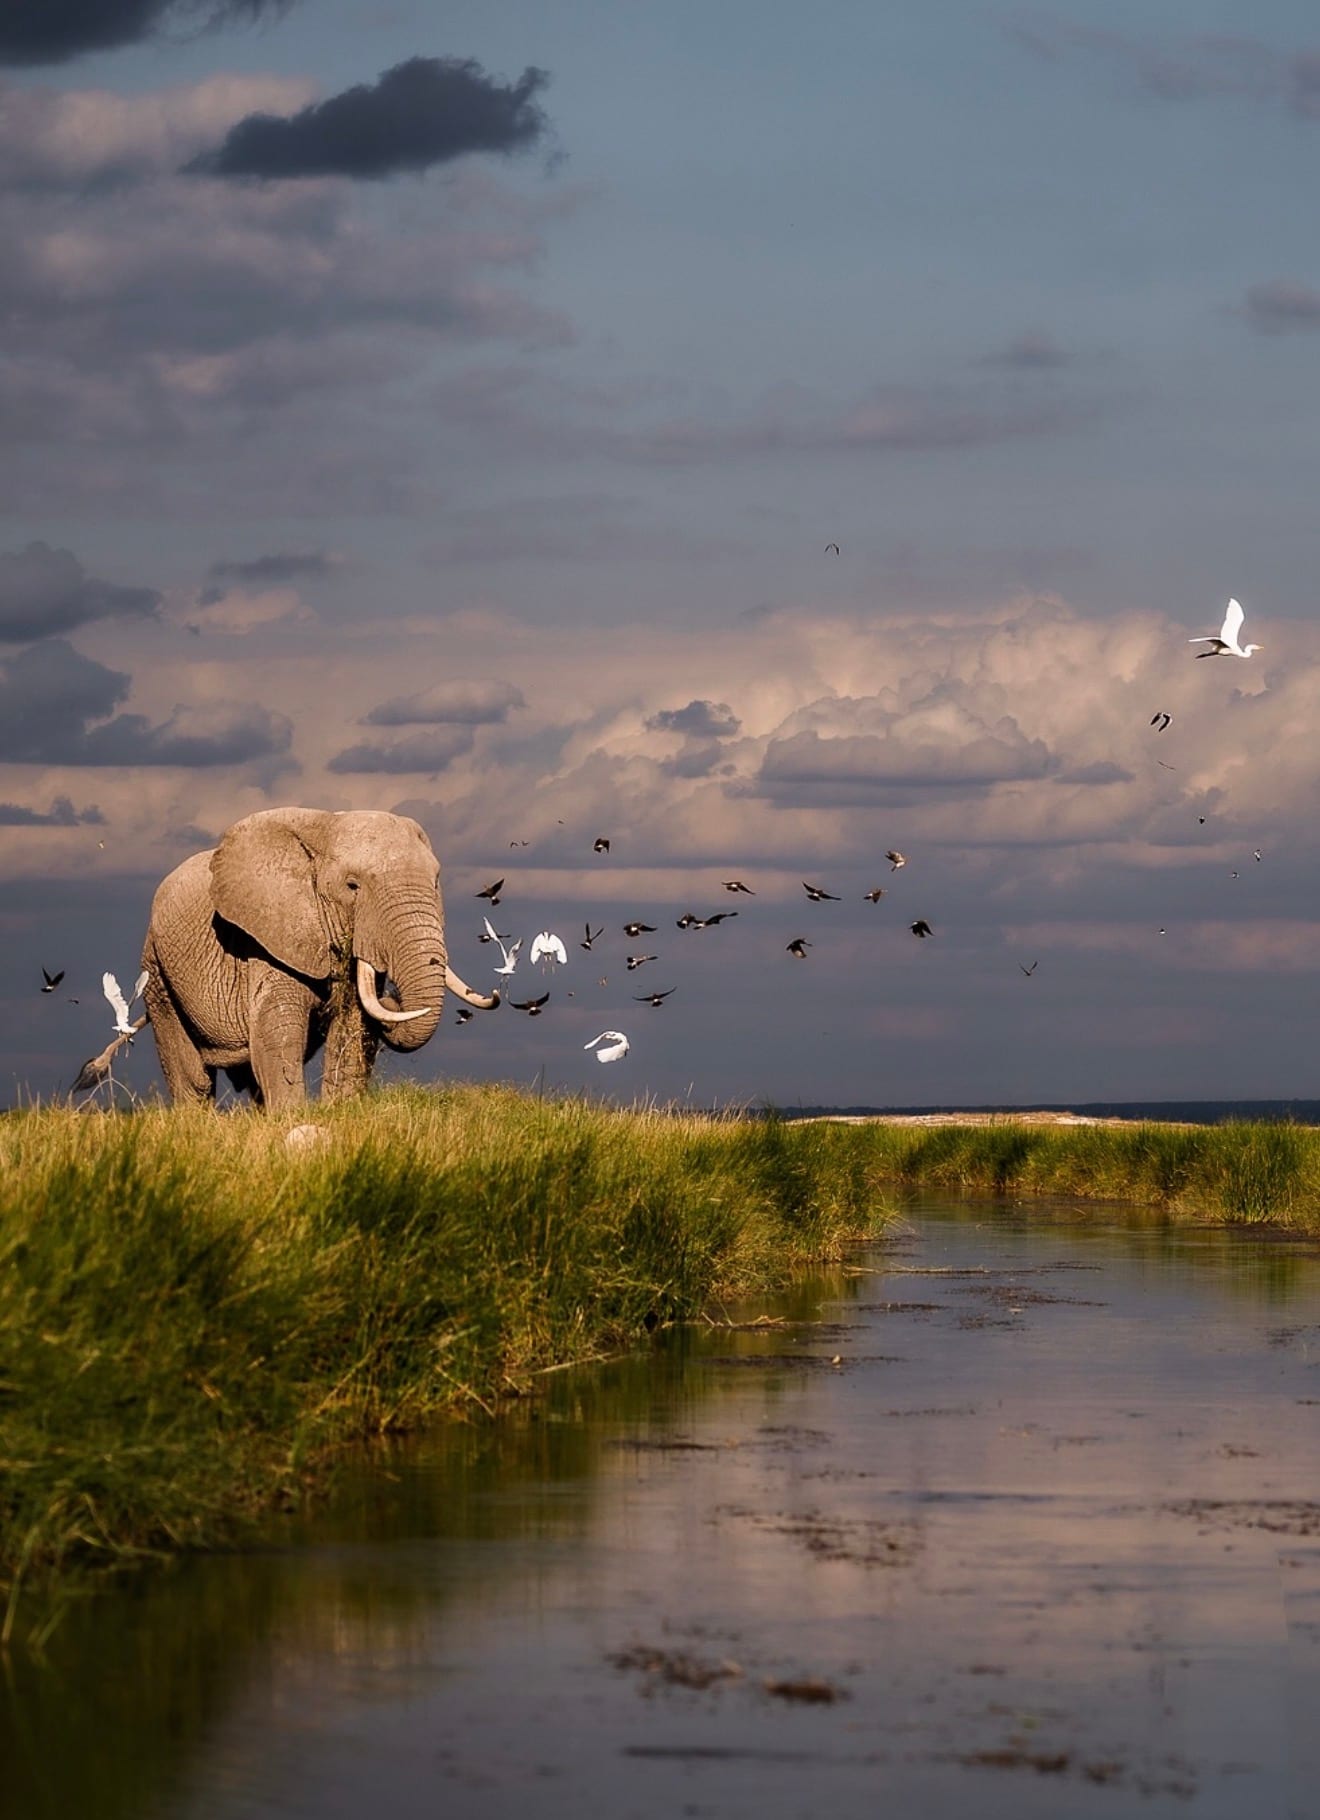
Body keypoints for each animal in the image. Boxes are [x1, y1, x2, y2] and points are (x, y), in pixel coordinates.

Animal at [139, 807, 499, 1109]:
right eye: (352, 886)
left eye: (436, 882)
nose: (393, 999)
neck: (326, 827)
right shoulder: (269, 937)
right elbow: (277, 1029)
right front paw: (292, 1117)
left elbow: (353, 1028)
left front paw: (340, 1111)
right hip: (157, 970)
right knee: (193, 1076)